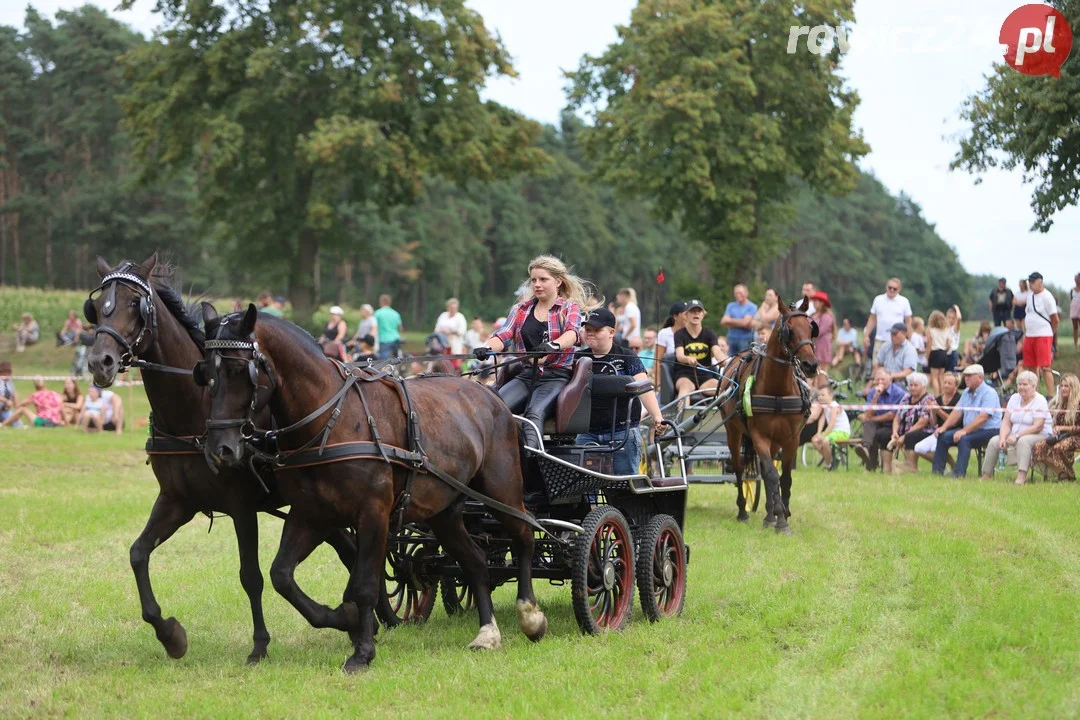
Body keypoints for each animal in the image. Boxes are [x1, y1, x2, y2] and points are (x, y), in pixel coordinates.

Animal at [725, 293, 816, 535]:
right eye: (789, 330)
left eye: (811, 328)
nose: (811, 365)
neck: (777, 390)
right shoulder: (759, 436)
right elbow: (771, 475)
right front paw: (780, 520)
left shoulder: (792, 438)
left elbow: (784, 478)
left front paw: (781, 514)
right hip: (733, 432)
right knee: (740, 468)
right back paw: (743, 511)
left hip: (776, 440)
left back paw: (770, 514)